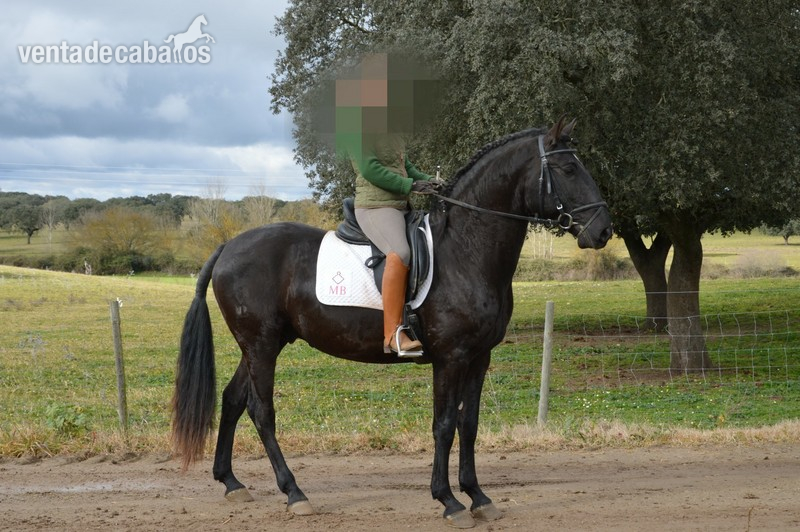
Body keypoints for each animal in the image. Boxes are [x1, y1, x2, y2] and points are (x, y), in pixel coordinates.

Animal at [172, 116, 613, 528]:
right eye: (568, 169)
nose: (604, 230)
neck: (465, 250)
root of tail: (229, 245)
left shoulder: (478, 358)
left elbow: (469, 424)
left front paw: (478, 497)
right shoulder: (450, 358)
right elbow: (444, 425)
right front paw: (449, 501)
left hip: (262, 344)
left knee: (233, 399)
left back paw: (231, 483)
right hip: (261, 345)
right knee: (261, 410)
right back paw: (295, 493)